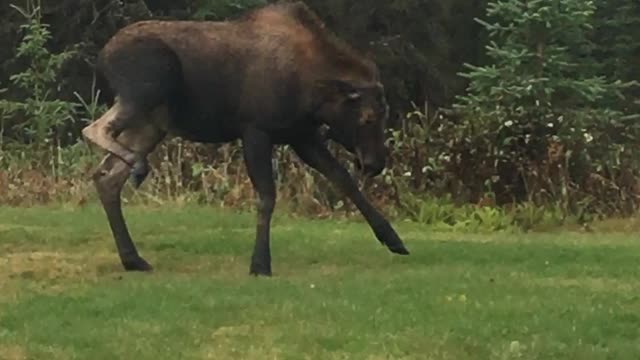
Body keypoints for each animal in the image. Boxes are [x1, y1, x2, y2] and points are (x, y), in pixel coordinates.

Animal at [82, 0, 408, 276]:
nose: (375, 163)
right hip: (149, 87)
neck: (313, 94)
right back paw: (137, 171)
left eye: (385, 115)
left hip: (151, 124)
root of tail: (102, 58)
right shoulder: (256, 131)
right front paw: (260, 263)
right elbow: (267, 196)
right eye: (367, 118)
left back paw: (133, 258)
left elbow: (344, 181)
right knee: (95, 130)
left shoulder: (302, 137)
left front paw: (393, 239)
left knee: (107, 176)